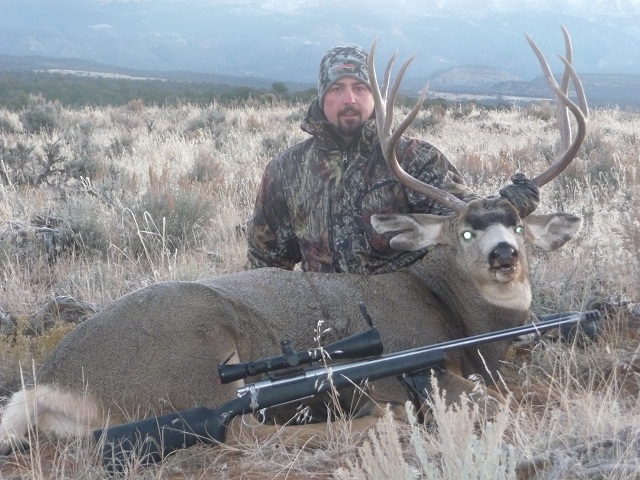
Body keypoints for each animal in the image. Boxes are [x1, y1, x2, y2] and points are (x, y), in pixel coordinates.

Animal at [0, 28, 588, 456]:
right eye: (465, 230)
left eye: (516, 225)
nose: (504, 255)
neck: (457, 316)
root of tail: (48, 384)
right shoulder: (411, 370)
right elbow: (483, 398)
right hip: (193, 360)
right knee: (238, 431)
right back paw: (370, 424)